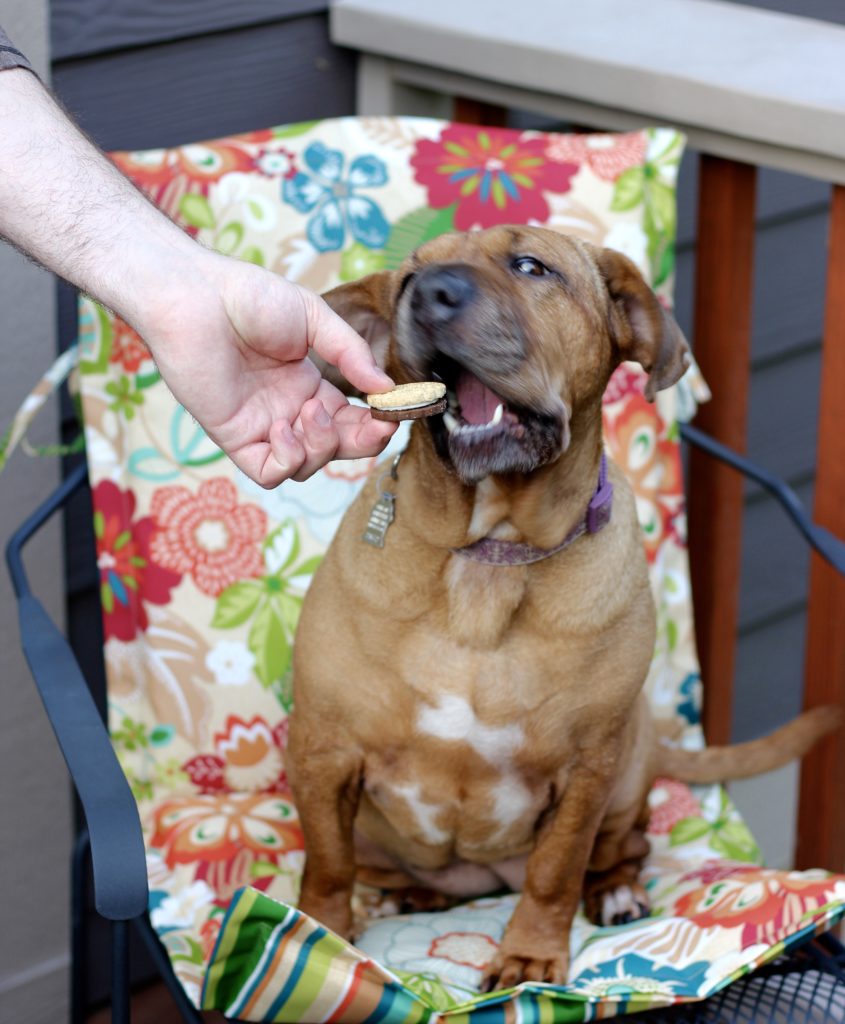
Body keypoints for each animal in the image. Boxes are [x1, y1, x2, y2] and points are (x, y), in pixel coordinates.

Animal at [284, 226, 835, 991]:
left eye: (530, 267)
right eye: (408, 280)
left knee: (622, 851)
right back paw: (404, 895)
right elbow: (326, 865)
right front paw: (319, 937)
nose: (431, 294)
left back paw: (615, 892)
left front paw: (530, 953)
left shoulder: (587, 770)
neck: (489, 555)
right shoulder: (324, 751)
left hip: (628, 776)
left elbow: (555, 868)